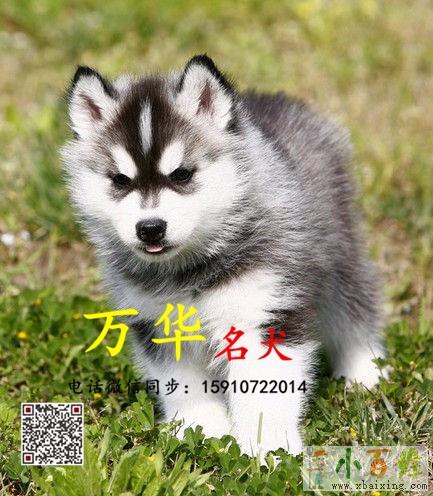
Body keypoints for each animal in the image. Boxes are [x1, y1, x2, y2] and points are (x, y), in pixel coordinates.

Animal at [62, 54, 385, 457]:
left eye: (182, 174)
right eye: (120, 180)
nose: (150, 228)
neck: (187, 271)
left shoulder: (263, 312)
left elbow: (265, 392)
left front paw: (269, 450)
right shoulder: (158, 324)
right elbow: (183, 385)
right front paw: (202, 431)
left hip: (338, 251)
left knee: (354, 306)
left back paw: (365, 371)